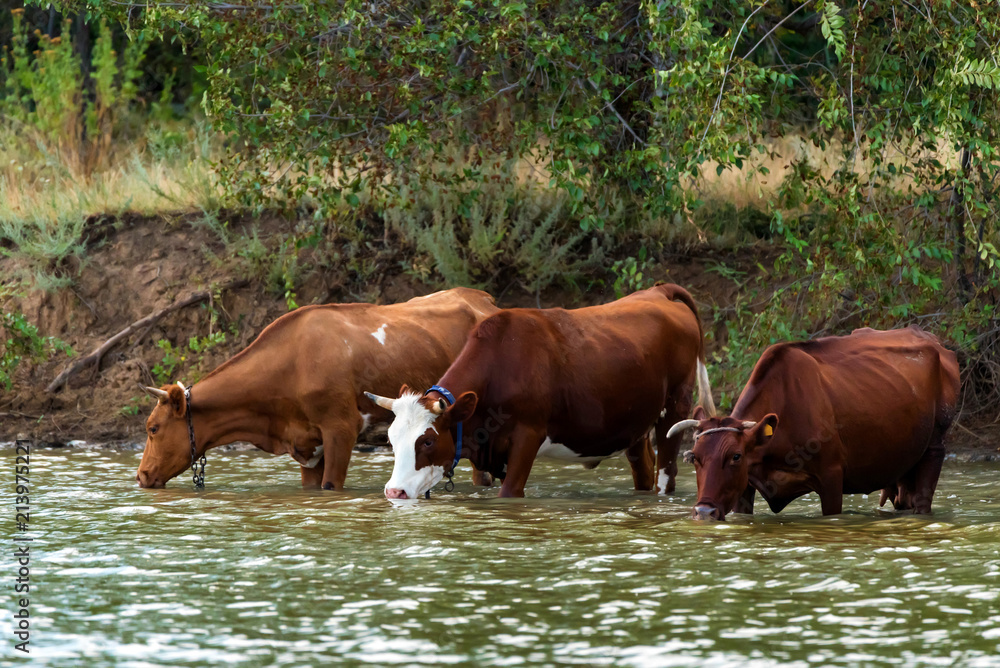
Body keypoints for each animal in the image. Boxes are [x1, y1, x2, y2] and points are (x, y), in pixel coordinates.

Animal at [135, 288, 498, 490]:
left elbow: (330, 485)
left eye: (153, 428)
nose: (140, 475)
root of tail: (482, 298)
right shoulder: (306, 445)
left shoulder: (341, 429)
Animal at [366, 283, 715, 499]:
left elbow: (510, 492)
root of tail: (659, 291)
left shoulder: (528, 436)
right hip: (634, 424)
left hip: (675, 408)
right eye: (391, 439)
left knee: (666, 473)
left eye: (427, 440)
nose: (394, 492)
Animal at [667, 326, 959, 521]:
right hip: (900, 468)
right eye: (694, 457)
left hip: (935, 445)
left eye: (736, 456)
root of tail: (937, 344)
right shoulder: (746, 484)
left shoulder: (832, 475)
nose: (704, 511)